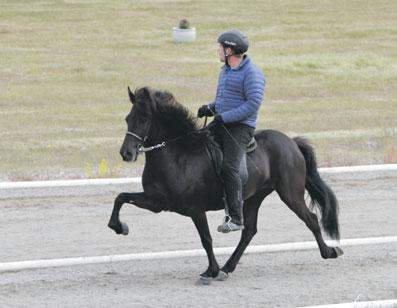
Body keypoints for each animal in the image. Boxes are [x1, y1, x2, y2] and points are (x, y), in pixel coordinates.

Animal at [106, 85, 342, 282]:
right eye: (128, 118)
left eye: (144, 118)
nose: (126, 153)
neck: (177, 154)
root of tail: (291, 142)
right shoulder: (157, 202)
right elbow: (120, 198)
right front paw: (119, 227)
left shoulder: (195, 209)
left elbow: (206, 239)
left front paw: (210, 271)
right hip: (254, 197)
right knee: (249, 231)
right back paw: (228, 267)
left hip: (290, 193)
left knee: (310, 219)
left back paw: (329, 252)